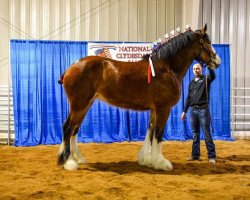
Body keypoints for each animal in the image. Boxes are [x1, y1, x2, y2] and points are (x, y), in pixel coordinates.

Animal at [57, 24, 221, 170]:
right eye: (206, 42)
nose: (217, 62)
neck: (167, 68)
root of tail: (72, 67)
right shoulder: (163, 109)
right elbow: (158, 134)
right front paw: (161, 163)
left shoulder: (155, 110)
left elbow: (150, 132)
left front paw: (147, 160)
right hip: (79, 105)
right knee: (67, 128)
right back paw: (68, 162)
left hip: (85, 105)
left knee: (74, 129)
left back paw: (78, 158)